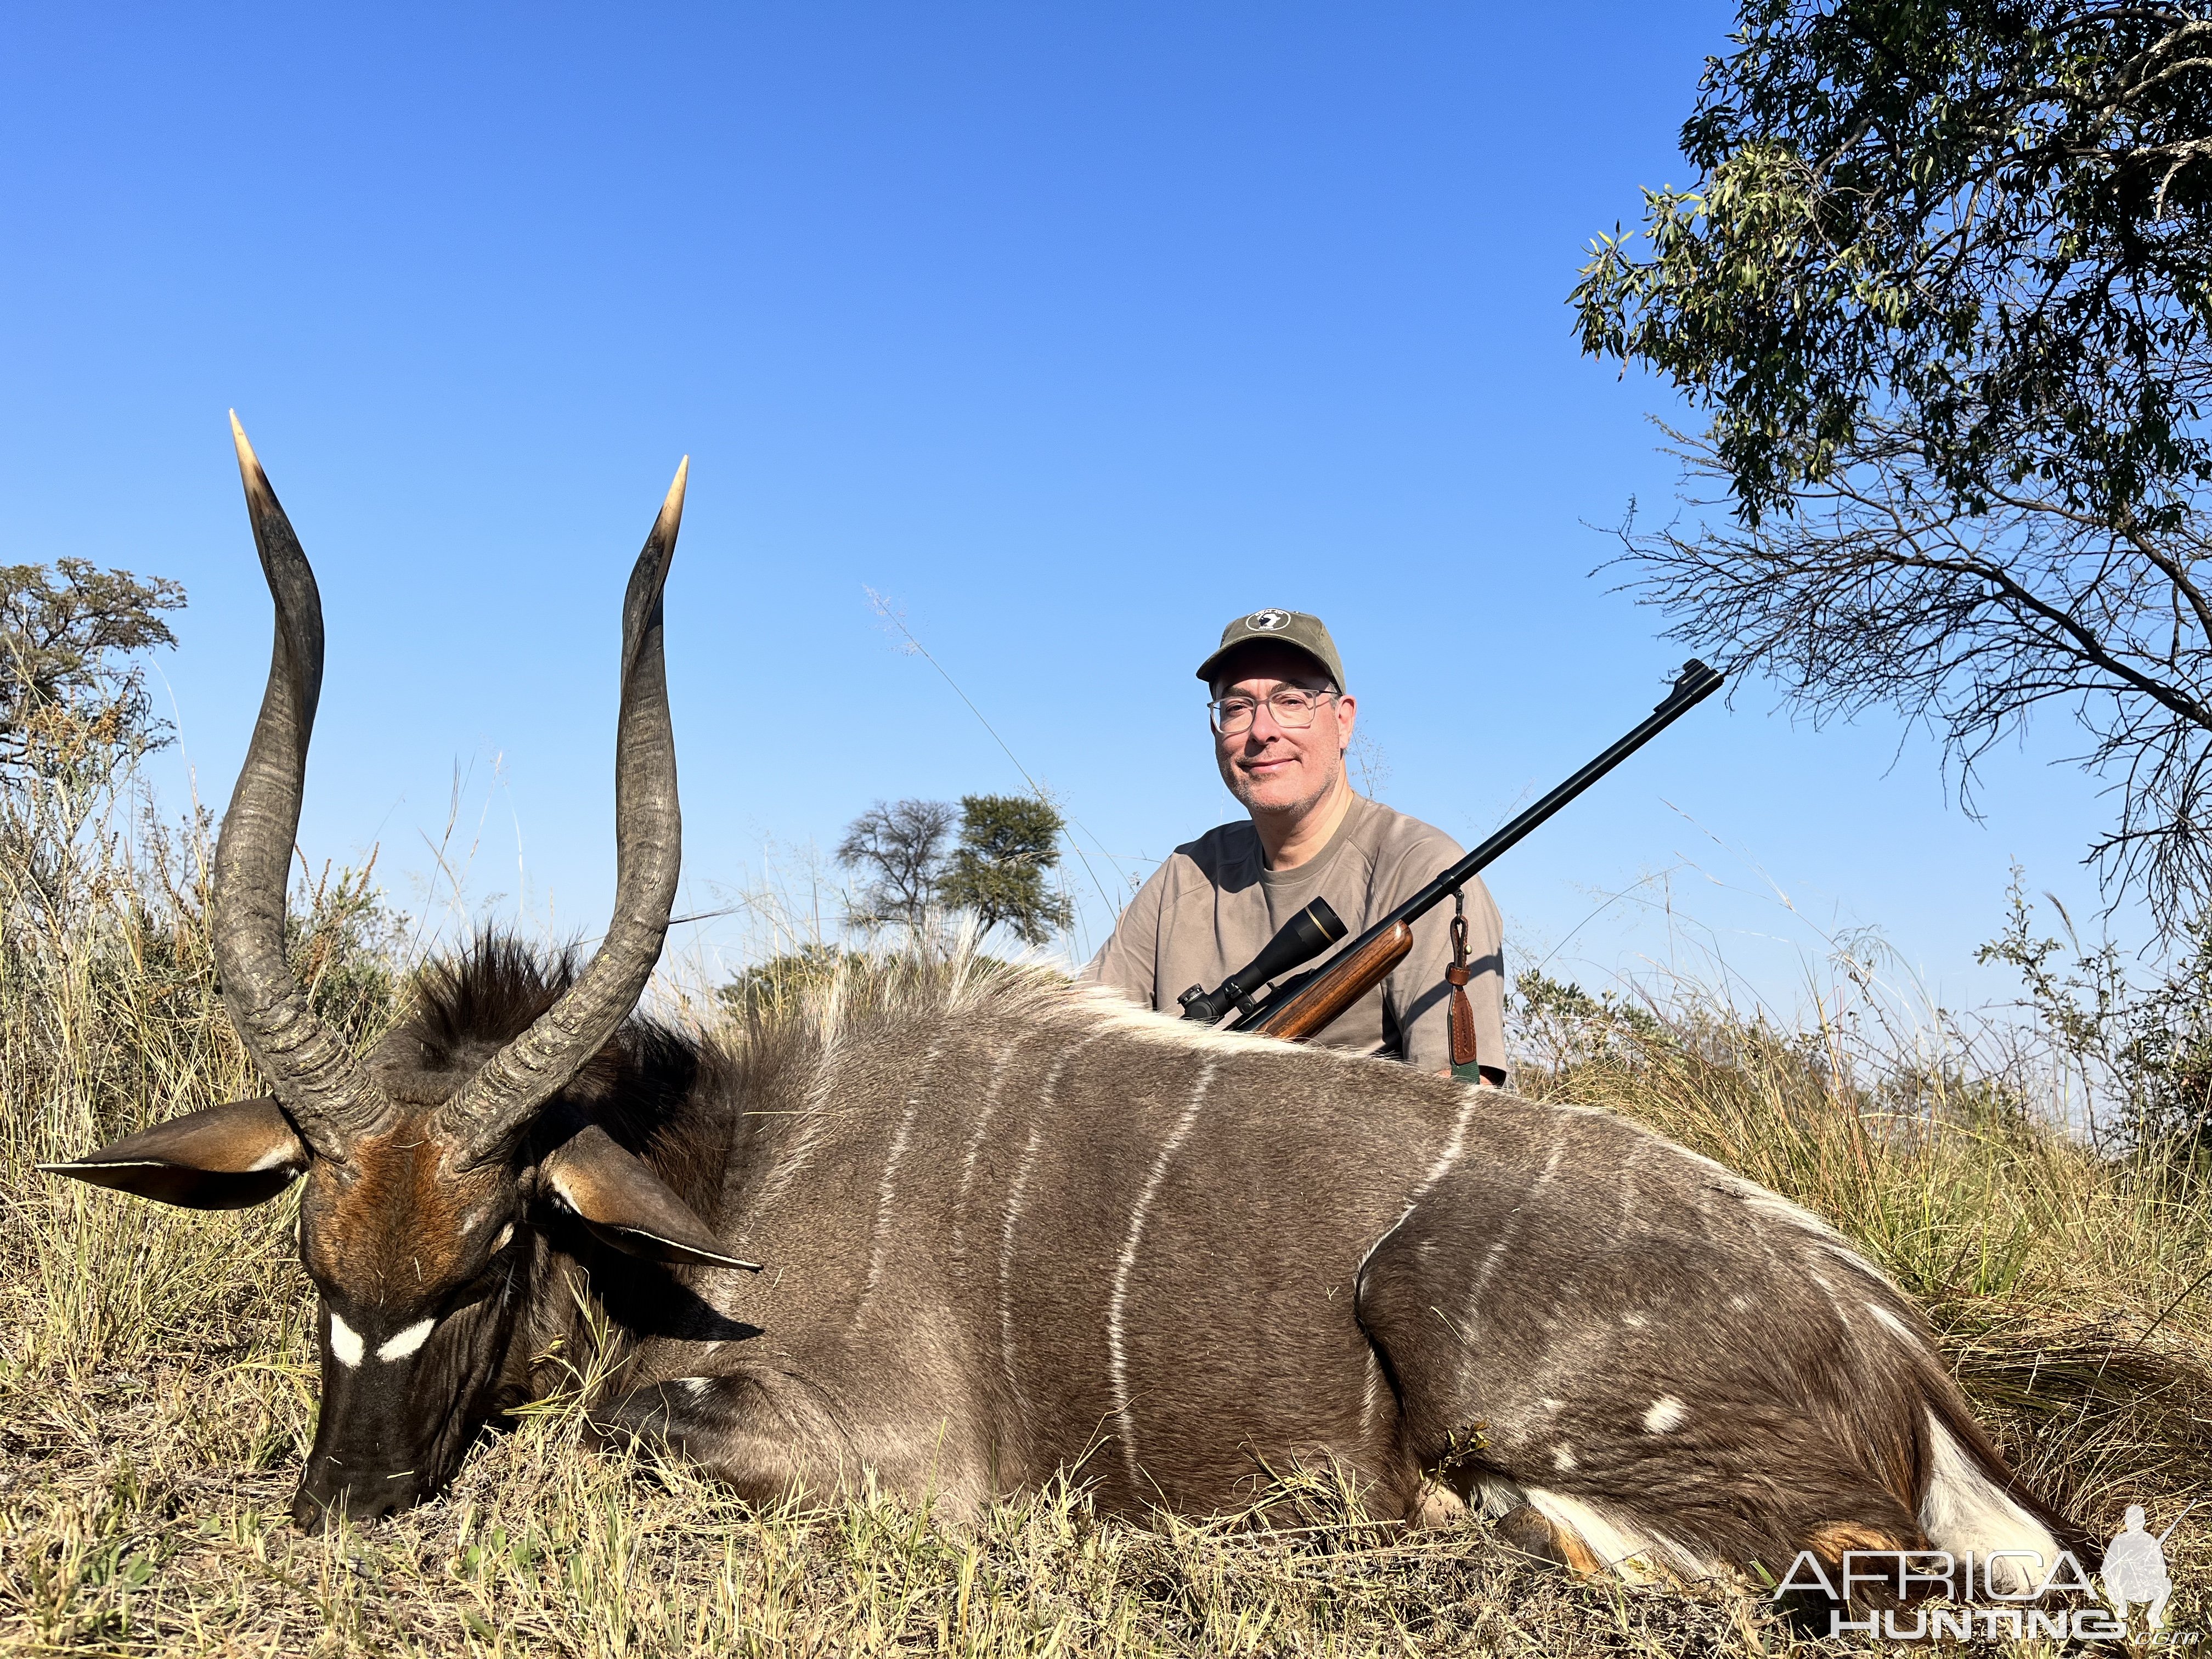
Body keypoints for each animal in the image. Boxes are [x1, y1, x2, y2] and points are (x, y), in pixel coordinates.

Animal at [47, 422, 2070, 1593]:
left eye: (484, 1262)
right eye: (311, 1259)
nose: (342, 1509)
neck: (740, 1167)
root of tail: (1899, 1356)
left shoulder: (865, 1453)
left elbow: (632, 1434)